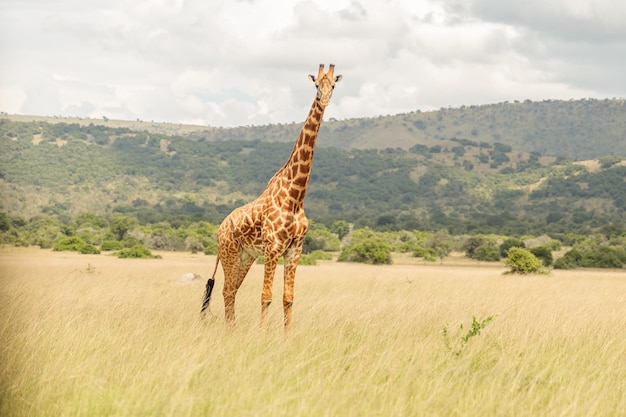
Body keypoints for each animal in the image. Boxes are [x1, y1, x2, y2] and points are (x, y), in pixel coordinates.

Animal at [200, 64, 342, 328]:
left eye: (334, 85)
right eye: (316, 84)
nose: (325, 99)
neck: (296, 196)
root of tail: (220, 228)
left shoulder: (295, 249)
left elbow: (288, 298)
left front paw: (287, 334)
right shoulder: (273, 248)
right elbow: (266, 296)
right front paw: (263, 333)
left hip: (246, 257)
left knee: (231, 290)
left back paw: (232, 329)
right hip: (229, 253)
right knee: (227, 290)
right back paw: (230, 329)